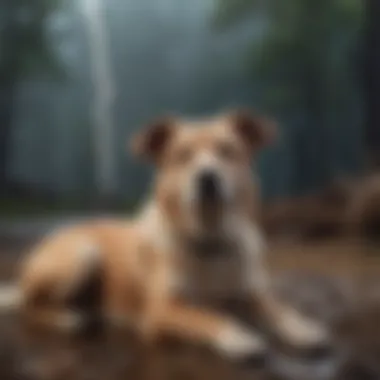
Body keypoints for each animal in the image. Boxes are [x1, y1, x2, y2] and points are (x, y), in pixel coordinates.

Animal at [0, 108, 330, 360]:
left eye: (227, 151)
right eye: (182, 155)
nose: (207, 177)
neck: (210, 239)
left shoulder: (250, 291)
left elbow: (278, 308)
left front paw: (302, 329)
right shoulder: (161, 311)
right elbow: (206, 315)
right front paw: (238, 336)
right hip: (83, 253)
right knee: (30, 307)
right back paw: (68, 320)